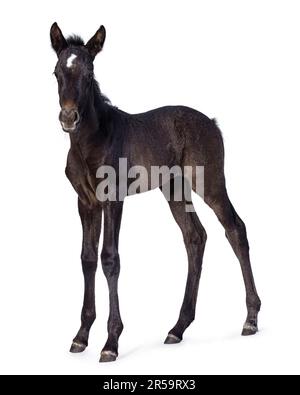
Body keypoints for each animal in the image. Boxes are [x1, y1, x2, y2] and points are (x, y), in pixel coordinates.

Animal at [49, 20, 260, 362]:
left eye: (89, 72)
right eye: (56, 72)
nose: (69, 118)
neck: (90, 141)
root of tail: (212, 123)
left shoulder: (113, 198)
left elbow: (110, 259)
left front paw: (111, 343)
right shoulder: (85, 202)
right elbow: (87, 258)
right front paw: (81, 336)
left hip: (209, 181)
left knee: (235, 228)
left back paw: (251, 319)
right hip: (174, 188)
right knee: (195, 236)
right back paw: (178, 327)